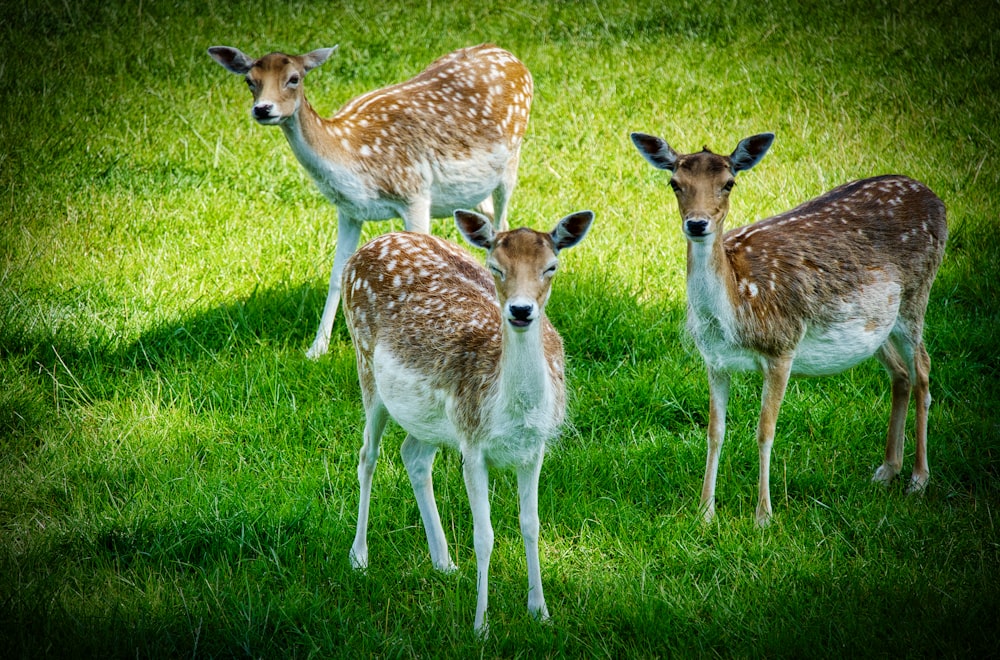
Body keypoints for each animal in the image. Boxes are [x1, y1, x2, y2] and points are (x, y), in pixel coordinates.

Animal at [208, 43, 536, 358]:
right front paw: (316, 349)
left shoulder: (415, 192)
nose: (263, 109)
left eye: (294, 78)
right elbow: (336, 275)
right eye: (250, 80)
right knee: (487, 216)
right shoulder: (348, 210)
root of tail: (511, 56)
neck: (354, 162)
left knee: (503, 217)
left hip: (512, 160)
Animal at [344, 208, 592, 636]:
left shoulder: (534, 448)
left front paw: (540, 612)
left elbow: (531, 524)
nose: (521, 311)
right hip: (367, 369)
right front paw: (481, 626)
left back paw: (443, 562)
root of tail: (371, 243)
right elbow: (484, 535)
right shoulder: (473, 444)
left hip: (430, 418)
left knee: (413, 455)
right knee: (367, 456)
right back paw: (359, 558)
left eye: (551, 267)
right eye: (495, 267)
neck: (511, 412)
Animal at [628, 133, 948, 524]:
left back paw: (918, 479)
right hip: (876, 323)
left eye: (729, 183)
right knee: (900, 374)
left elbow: (765, 431)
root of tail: (936, 198)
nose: (697, 224)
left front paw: (763, 516)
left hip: (916, 294)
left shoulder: (783, 347)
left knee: (923, 370)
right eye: (675, 183)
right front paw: (705, 513)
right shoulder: (714, 361)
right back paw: (887, 469)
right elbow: (714, 431)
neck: (737, 309)